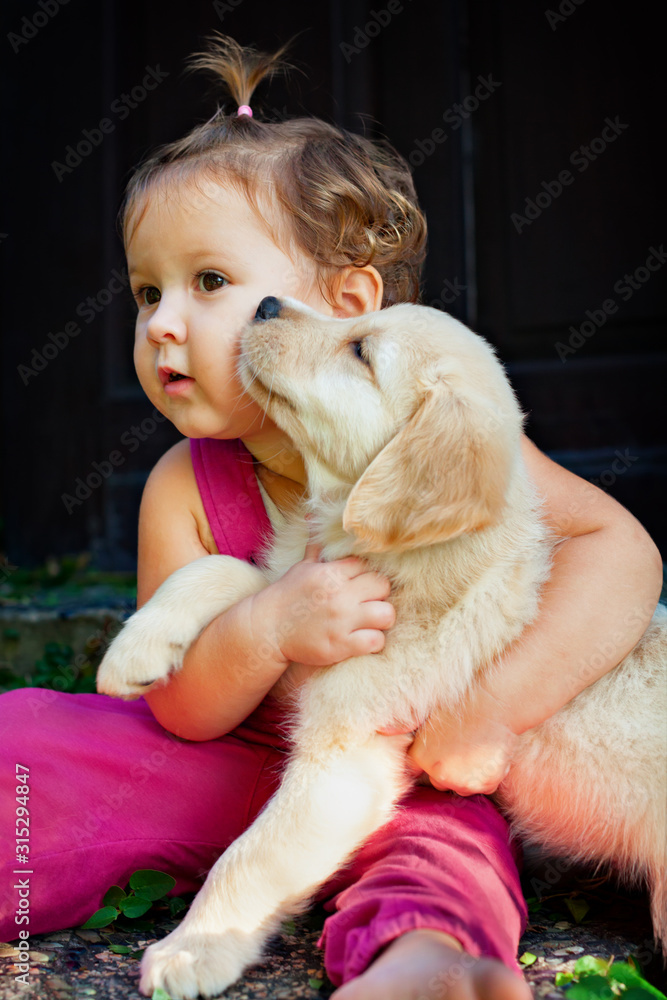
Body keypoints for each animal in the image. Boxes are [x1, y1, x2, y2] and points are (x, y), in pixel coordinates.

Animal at [98, 298, 667, 1000]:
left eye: (361, 352)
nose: (264, 304)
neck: (396, 561)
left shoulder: (346, 759)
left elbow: (252, 856)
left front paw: (191, 948)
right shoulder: (306, 601)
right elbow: (231, 577)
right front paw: (138, 647)